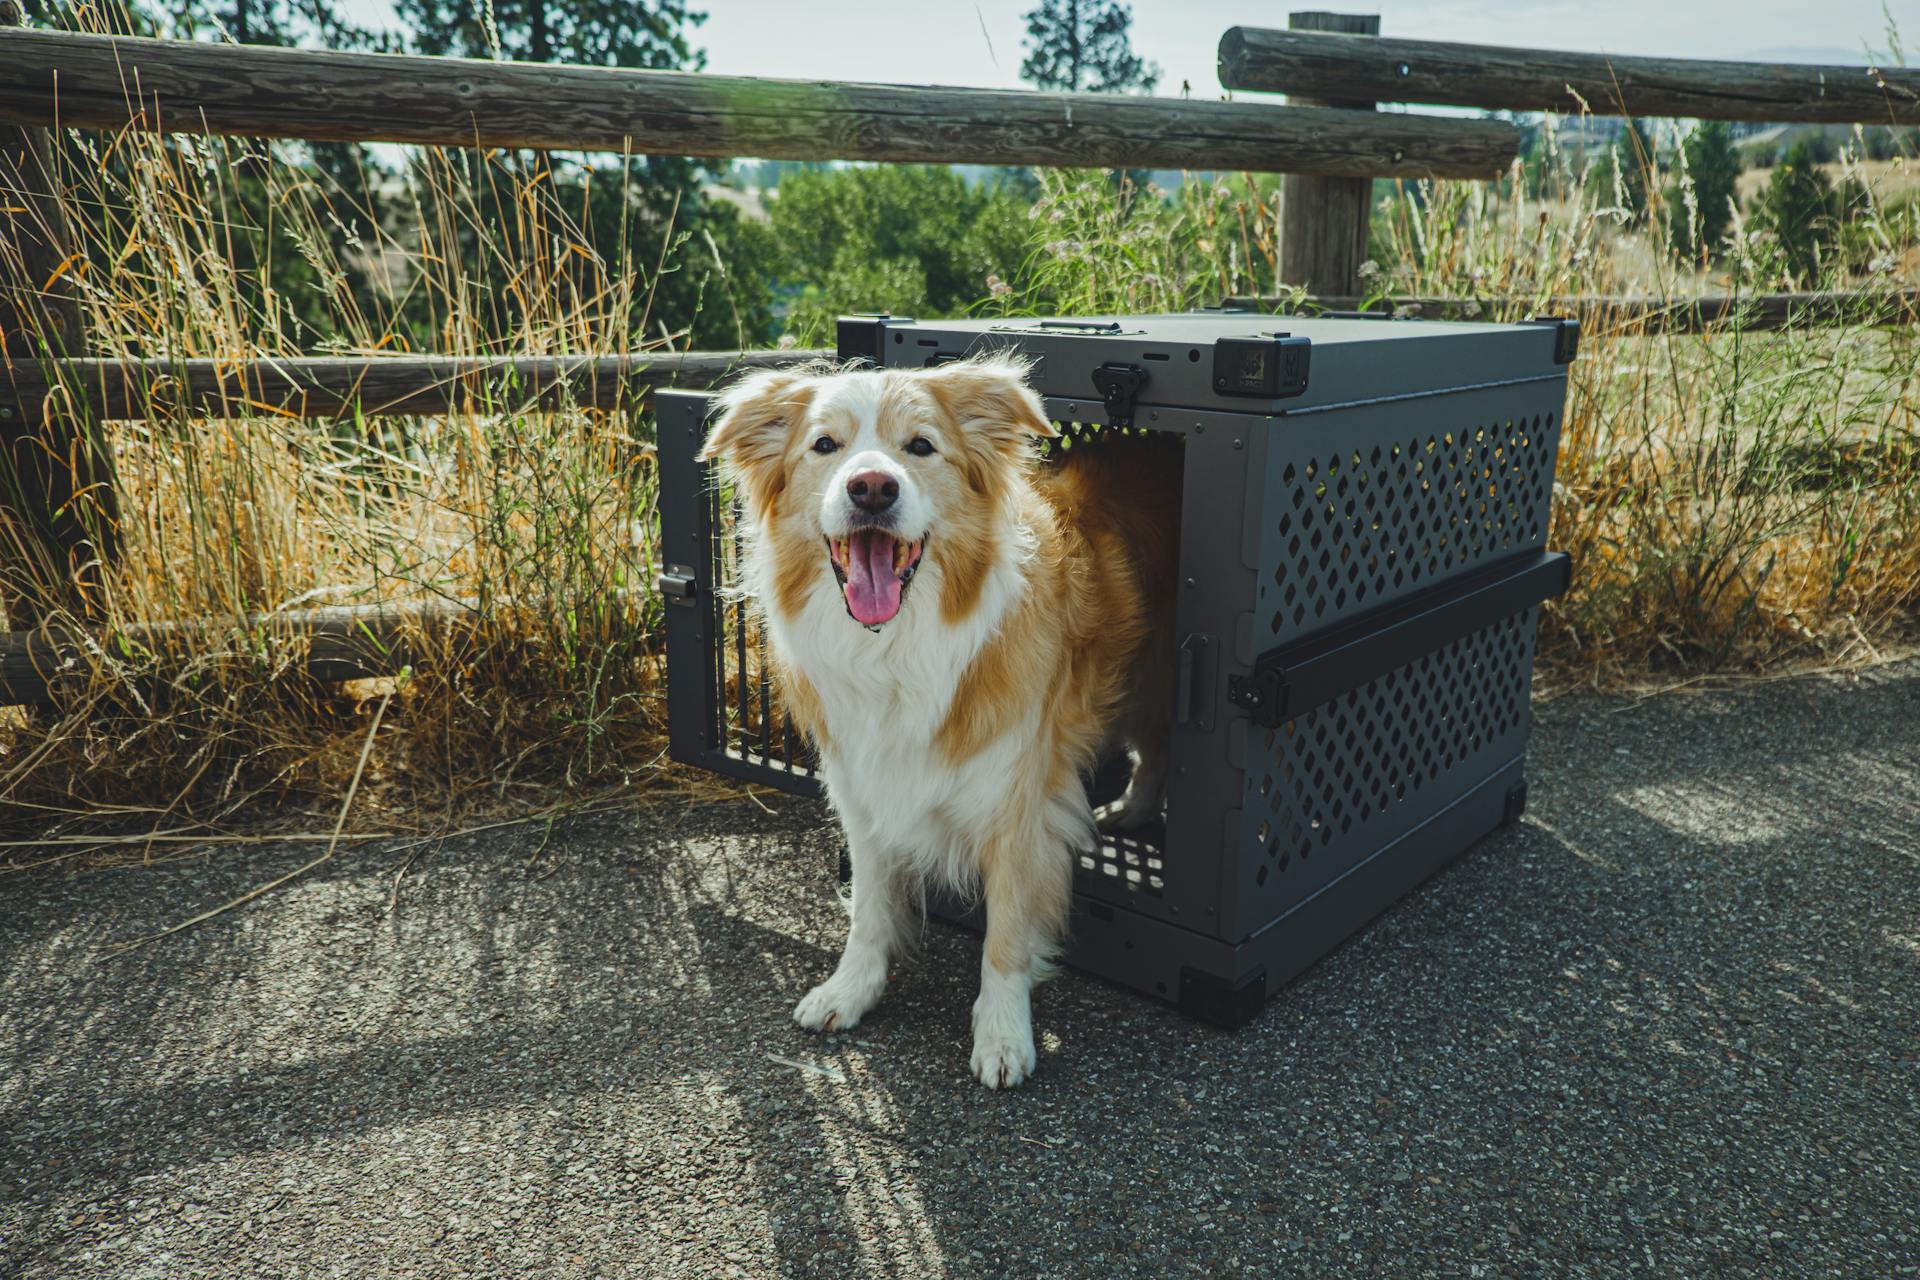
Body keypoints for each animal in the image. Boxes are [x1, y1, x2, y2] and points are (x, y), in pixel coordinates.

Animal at [702, 355, 1175, 1090]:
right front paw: (851, 990)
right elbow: (870, 910)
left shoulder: (1019, 804)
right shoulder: (865, 790)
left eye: (921, 446)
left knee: (1155, 744)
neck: (896, 644)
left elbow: (1006, 932)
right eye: (824, 445)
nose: (871, 487)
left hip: (1157, 676)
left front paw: (1004, 1034)